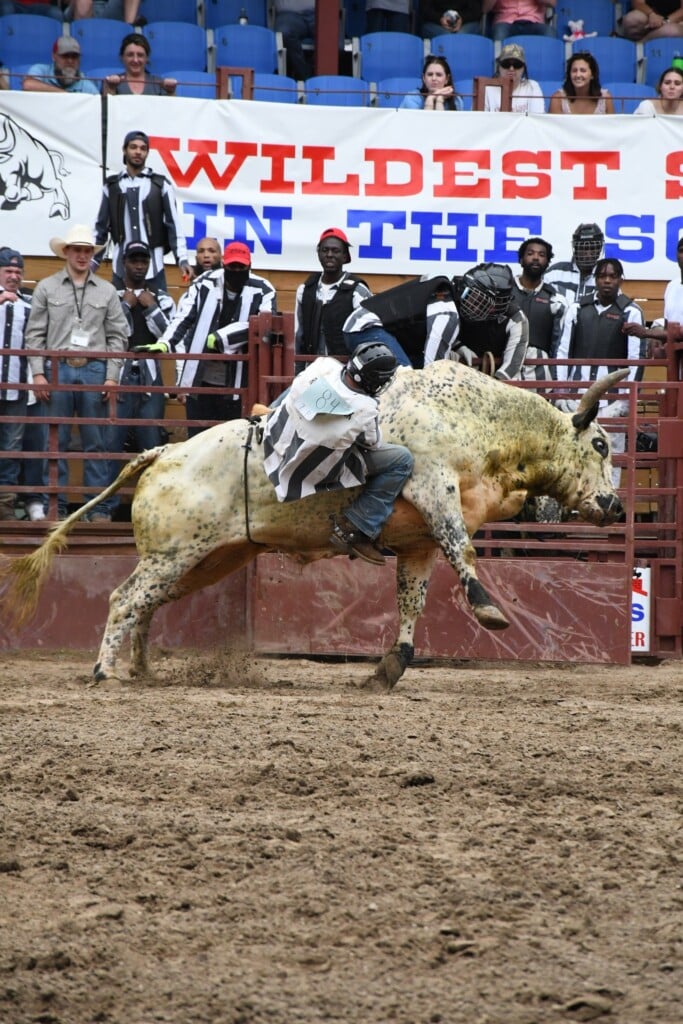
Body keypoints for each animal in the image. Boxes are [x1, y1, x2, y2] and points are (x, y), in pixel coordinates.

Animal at [0, 362, 627, 692]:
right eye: (600, 444)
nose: (616, 508)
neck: (483, 423)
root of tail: (162, 454)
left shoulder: (417, 543)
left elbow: (412, 600)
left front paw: (388, 669)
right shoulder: (434, 491)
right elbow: (465, 552)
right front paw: (490, 610)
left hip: (205, 559)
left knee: (146, 605)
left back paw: (143, 669)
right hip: (171, 554)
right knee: (124, 598)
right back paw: (105, 671)